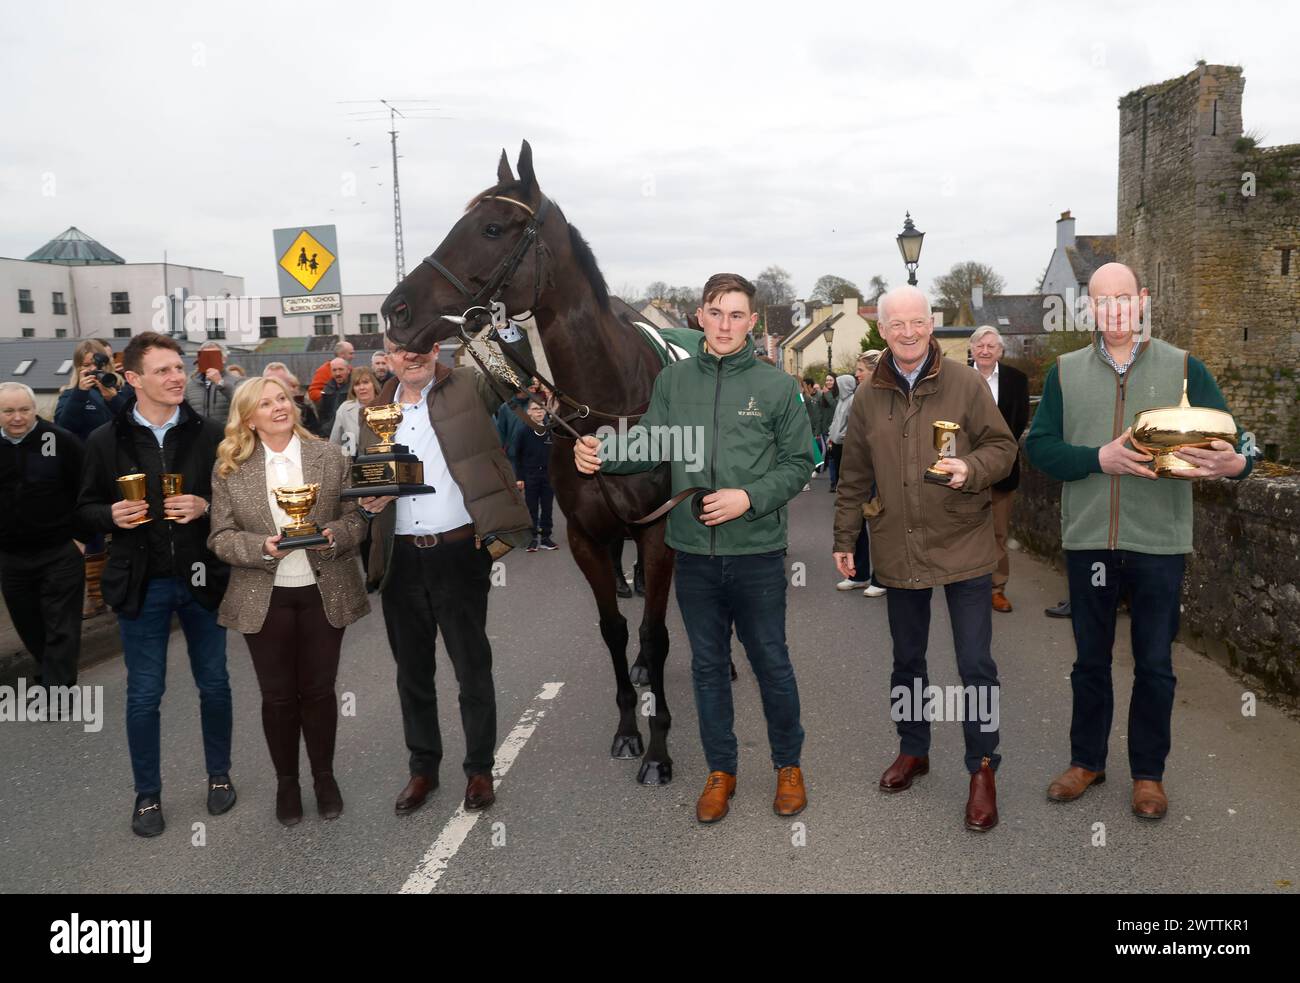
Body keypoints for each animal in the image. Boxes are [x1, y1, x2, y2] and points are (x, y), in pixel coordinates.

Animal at [377, 140, 681, 785]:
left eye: (492, 227)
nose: (396, 309)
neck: (609, 406)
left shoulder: (661, 529)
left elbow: (656, 630)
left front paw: (660, 749)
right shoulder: (590, 537)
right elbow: (616, 630)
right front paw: (628, 728)